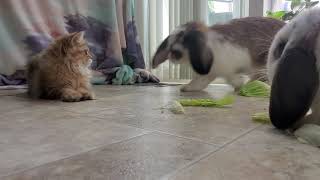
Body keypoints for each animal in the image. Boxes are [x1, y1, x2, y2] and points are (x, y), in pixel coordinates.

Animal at [151, 16, 284, 91]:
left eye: (184, 39)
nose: (172, 56)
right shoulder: (210, 73)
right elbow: (199, 82)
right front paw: (186, 88)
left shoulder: (228, 69)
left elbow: (231, 79)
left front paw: (240, 85)